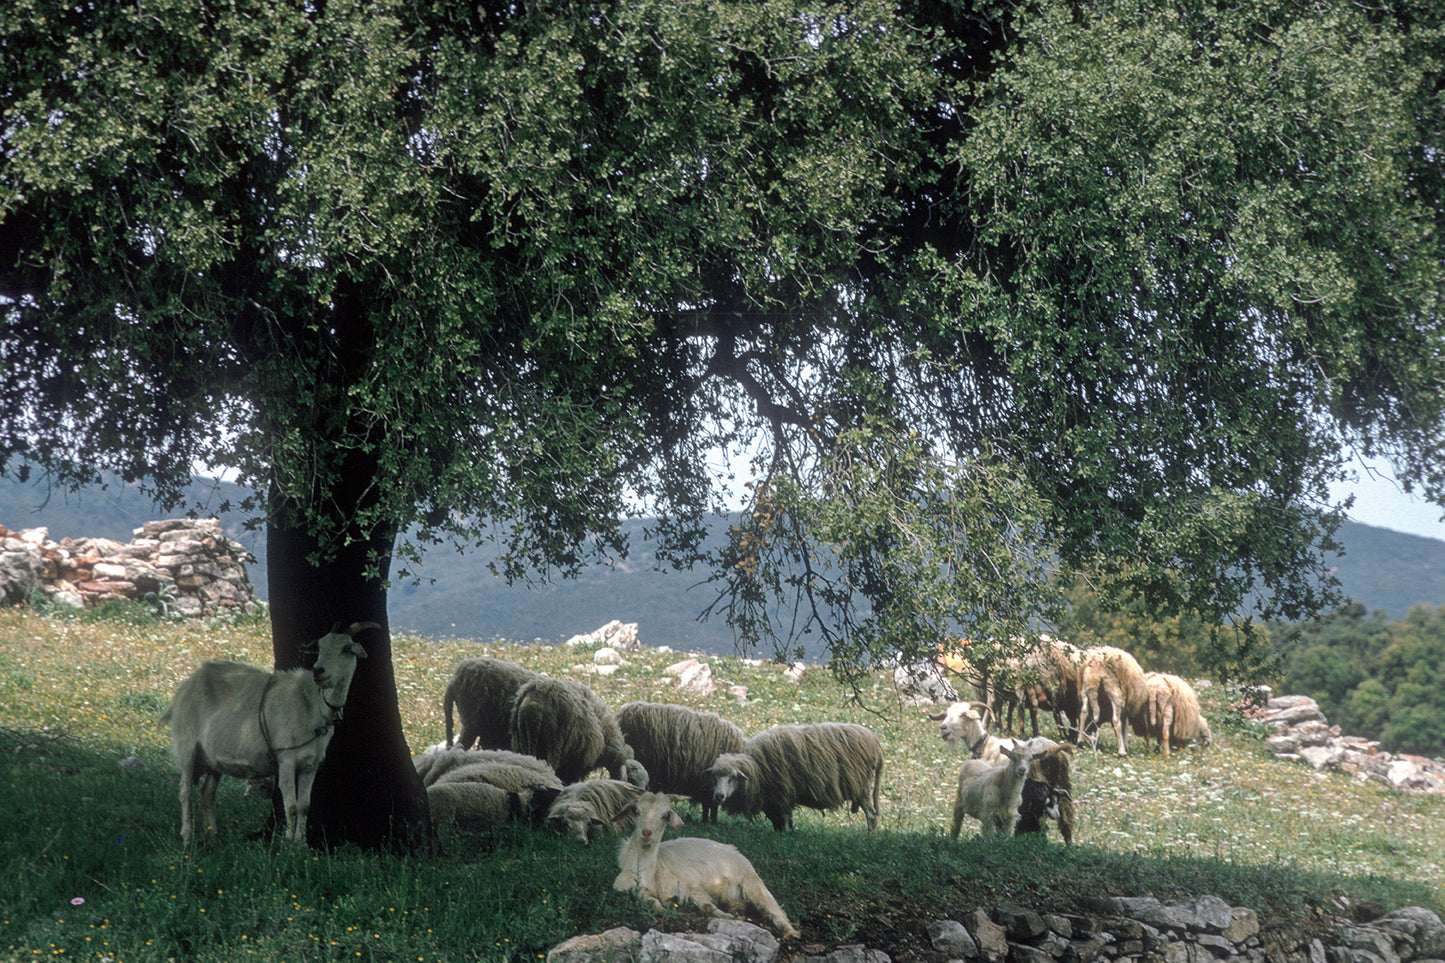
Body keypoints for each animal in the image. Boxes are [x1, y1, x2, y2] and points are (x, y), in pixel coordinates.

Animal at [158, 618, 378, 844]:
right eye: (320, 647)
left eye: (346, 649)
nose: (319, 671)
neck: (312, 704)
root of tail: (184, 687)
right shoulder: (286, 758)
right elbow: (291, 807)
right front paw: (288, 843)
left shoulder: (311, 765)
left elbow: (304, 807)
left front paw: (301, 844)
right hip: (187, 745)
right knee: (185, 790)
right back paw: (187, 837)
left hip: (213, 757)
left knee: (207, 791)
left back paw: (212, 836)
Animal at [609, 786, 803, 936]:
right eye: (637, 812)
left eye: (665, 815)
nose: (647, 833)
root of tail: (733, 850)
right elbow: (653, 902)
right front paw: (662, 909)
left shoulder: (689, 886)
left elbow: (707, 906)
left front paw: (728, 917)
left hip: (752, 882)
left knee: (773, 907)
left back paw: (789, 931)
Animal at [708, 717, 884, 827]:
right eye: (715, 778)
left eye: (732, 778)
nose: (718, 796)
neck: (756, 768)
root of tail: (875, 742)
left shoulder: (783, 791)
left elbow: (785, 819)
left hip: (861, 785)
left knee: (871, 815)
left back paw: (870, 837)